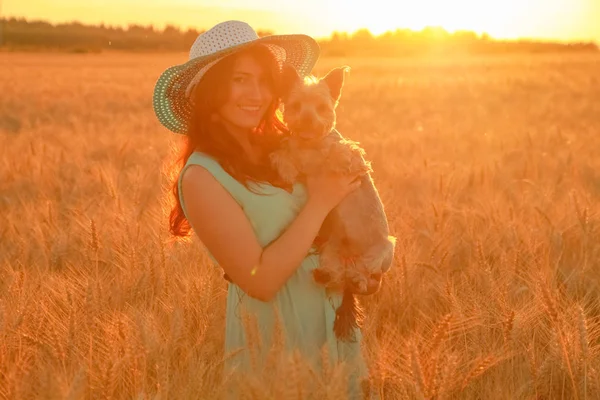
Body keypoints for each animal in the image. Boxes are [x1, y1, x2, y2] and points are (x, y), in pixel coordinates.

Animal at [270, 64, 396, 342]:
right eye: (296, 105)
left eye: (321, 107)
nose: (307, 119)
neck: (310, 144)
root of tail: (350, 257)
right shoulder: (299, 158)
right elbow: (287, 155)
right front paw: (284, 166)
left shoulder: (340, 151)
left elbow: (343, 152)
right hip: (331, 252)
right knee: (338, 275)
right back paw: (325, 275)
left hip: (384, 250)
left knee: (363, 272)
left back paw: (358, 279)